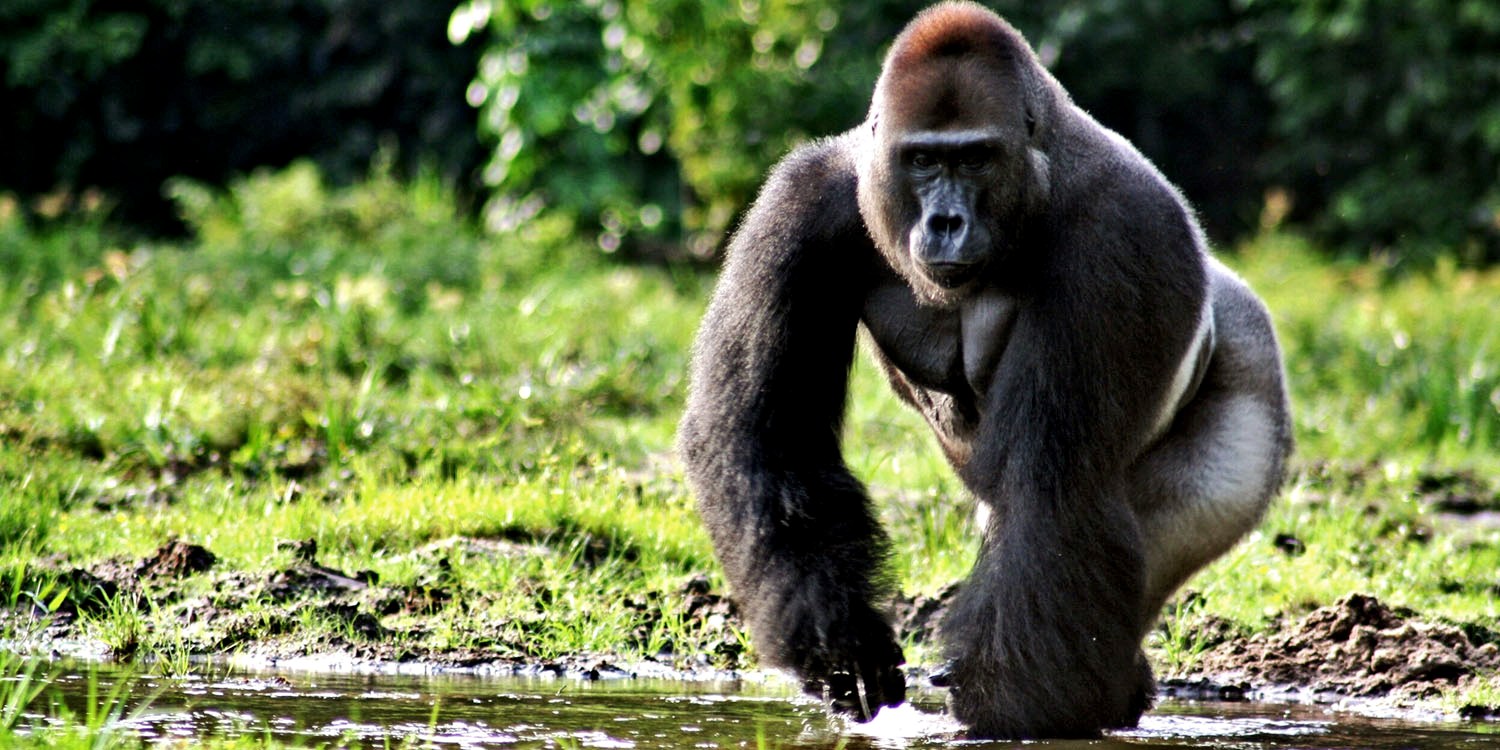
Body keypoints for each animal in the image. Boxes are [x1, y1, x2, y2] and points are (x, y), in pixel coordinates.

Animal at [676, 1, 1292, 739]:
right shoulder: (803, 201)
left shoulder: (1121, 228)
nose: (946, 221)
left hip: (1249, 381)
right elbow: (769, 434)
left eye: (975, 158)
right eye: (922, 160)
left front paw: (1011, 709)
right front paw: (843, 645)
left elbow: (1053, 488)